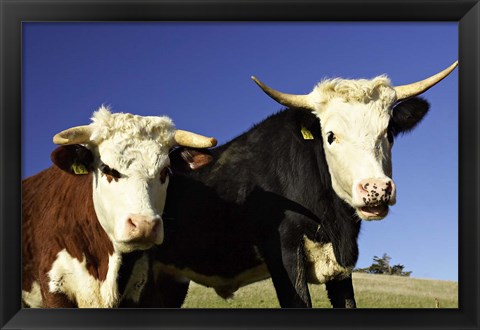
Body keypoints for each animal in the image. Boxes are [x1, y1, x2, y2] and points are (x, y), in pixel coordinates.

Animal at [153, 62, 458, 310]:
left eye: (390, 132)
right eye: (331, 135)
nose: (376, 189)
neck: (332, 222)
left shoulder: (341, 267)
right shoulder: (285, 255)